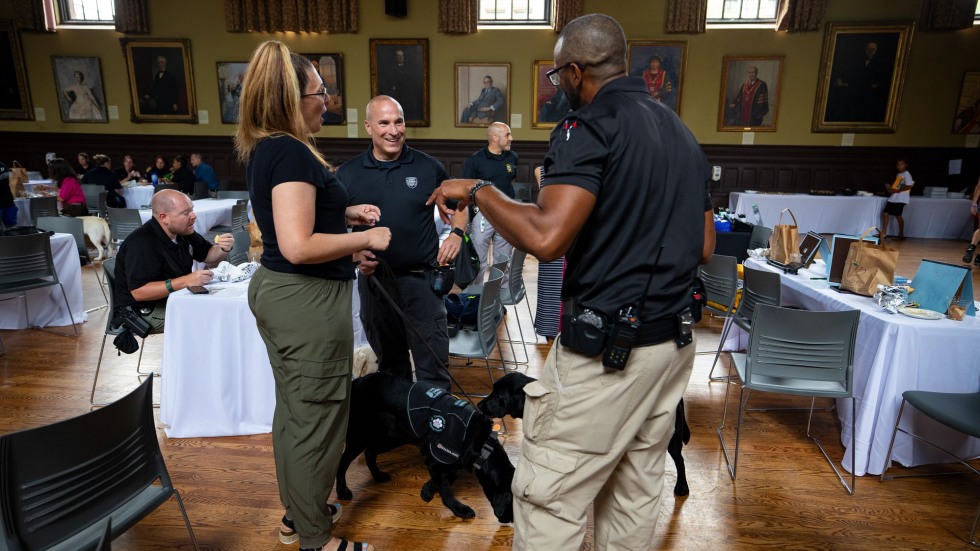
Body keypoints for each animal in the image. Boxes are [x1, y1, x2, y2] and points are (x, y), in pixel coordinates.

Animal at [336, 374, 516, 524]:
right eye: (514, 504)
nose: (510, 521)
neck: (483, 444)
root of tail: (358, 381)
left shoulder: (448, 460)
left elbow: (448, 477)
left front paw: (427, 489)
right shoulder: (437, 460)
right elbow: (446, 491)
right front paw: (459, 509)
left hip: (395, 435)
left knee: (370, 451)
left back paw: (377, 475)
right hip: (361, 435)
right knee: (343, 461)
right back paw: (342, 491)